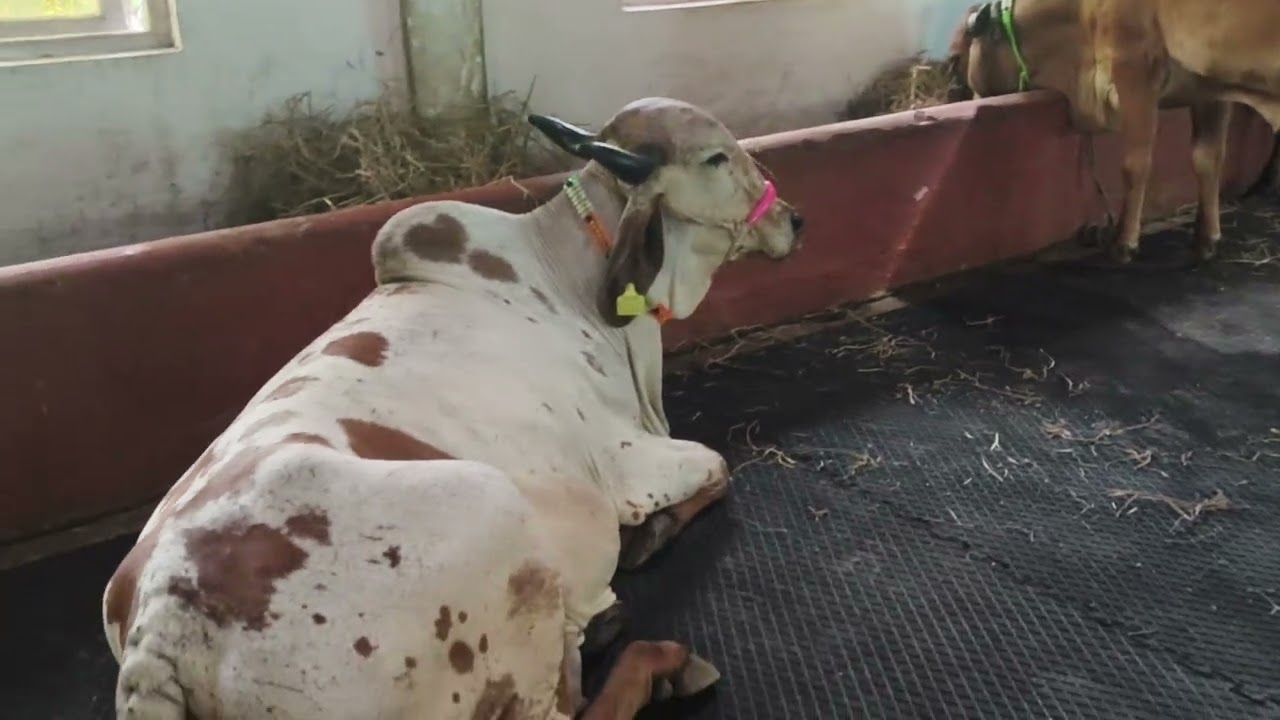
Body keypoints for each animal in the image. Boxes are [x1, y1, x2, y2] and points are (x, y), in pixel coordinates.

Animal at [101, 96, 805, 719]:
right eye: (715, 157)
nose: (794, 220)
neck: (572, 283)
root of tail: (160, 630)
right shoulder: (627, 464)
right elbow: (718, 466)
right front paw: (650, 536)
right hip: (499, 520)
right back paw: (661, 662)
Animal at [945, 0, 1280, 263]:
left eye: (955, 59)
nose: (961, 97)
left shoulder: (1135, 72)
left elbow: (1135, 165)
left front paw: (1123, 242)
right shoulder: (1208, 88)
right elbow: (1207, 159)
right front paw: (1205, 239)